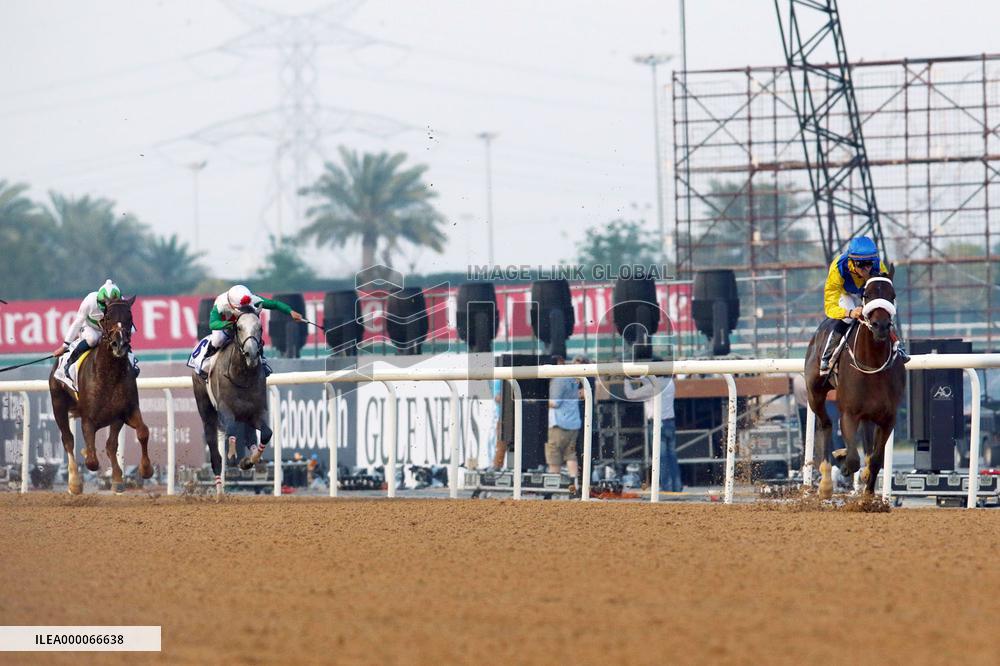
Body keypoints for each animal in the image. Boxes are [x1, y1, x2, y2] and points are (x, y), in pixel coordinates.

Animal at [49, 295, 153, 495]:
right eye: (108, 317)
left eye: (129, 317)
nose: (119, 344)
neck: (108, 375)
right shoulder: (88, 419)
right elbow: (91, 460)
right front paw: (86, 460)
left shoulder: (126, 411)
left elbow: (143, 432)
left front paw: (145, 469)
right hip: (58, 404)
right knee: (68, 439)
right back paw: (74, 483)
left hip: (114, 418)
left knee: (111, 445)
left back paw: (117, 479)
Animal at [191, 311, 273, 496]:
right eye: (240, 327)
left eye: (260, 327)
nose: (252, 353)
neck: (242, 375)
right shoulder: (226, 411)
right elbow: (232, 429)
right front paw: (233, 457)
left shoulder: (256, 412)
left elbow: (266, 433)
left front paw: (248, 461)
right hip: (206, 410)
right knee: (215, 453)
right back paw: (219, 491)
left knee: (250, 437)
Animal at [804, 275, 906, 495]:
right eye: (866, 295)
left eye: (892, 295)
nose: (880, 325)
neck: (873, 364)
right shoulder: (848, 413)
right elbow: (852, 459)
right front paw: (843, 463)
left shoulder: (888, 418)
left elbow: (876, 460)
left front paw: (868, 495)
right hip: (814, 393)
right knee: (825, 423)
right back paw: (826, 483)